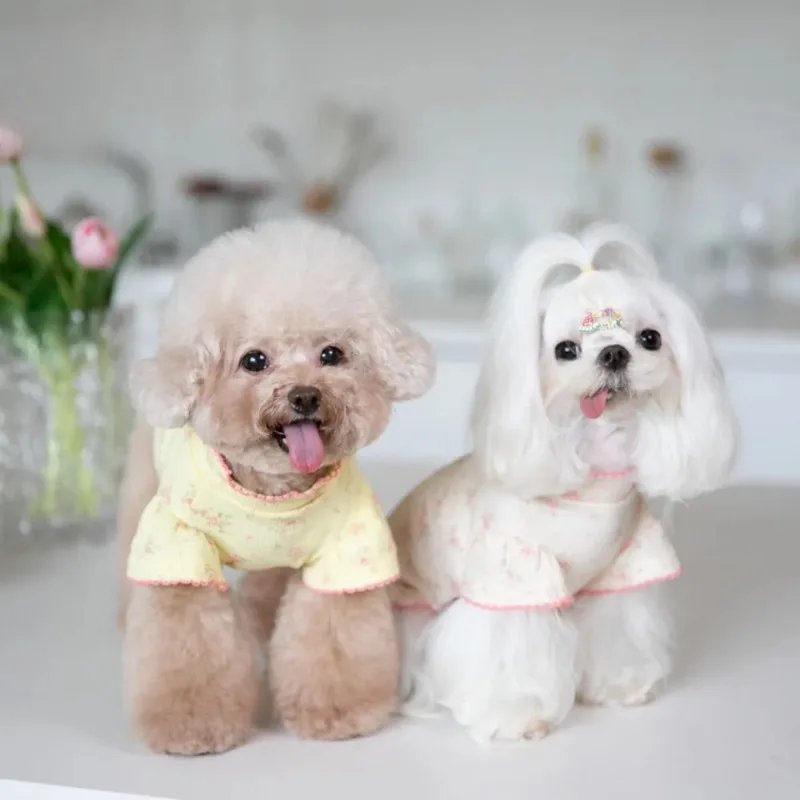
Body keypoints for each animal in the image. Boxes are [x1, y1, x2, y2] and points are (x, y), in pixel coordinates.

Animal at [117, 218, 435, 754]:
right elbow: (186, 635)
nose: (305, 395)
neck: (273, 493)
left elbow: (331, 636)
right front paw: (192, 724)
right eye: (254, 361)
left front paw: (337, 713)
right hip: (143, 489)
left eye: (332, 354)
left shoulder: (344, 552)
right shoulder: (179, 547)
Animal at [389, 225, 738, 742]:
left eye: (650, 338)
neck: (594, 481)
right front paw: (517, 713)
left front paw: (620, 684)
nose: (614, 352)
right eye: (566, 350)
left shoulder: (623, 564)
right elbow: (507, 648)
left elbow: (615, 626)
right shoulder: (514, 577)